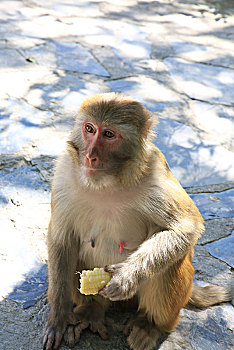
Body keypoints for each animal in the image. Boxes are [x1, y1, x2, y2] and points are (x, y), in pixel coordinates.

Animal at [42, 93, 232, 350]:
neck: (108, 181)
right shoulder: (64, 173)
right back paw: (91, 311)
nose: (90, 156)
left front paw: (126, 277)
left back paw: (151, 325)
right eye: (90, 129)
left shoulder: (155, 172)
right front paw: (58, 316)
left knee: (170, 262)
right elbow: (61, 239)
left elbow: (186, 227)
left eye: (108, 134)